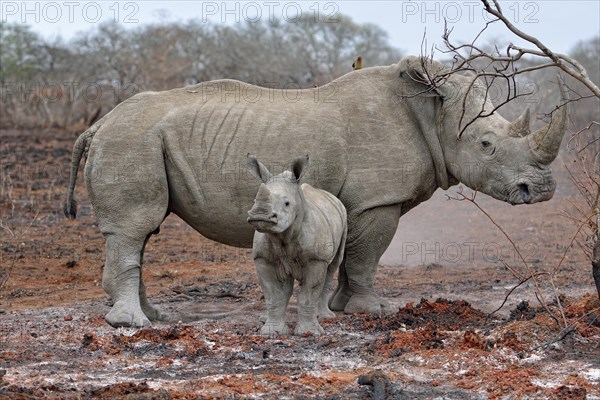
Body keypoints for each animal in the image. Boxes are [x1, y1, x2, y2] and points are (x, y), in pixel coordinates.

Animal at [245, 155, 346, 336]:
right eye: (255, 200)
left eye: (287, 203)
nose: (260, 215)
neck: (283, 236)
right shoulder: (262, 258)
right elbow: (273, 295)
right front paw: (271, 332)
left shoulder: (316, 259)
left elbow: (309, 294)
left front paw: (309, 333)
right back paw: (265, 319)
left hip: (344, 215)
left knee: (332, 266)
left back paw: (325, 317)